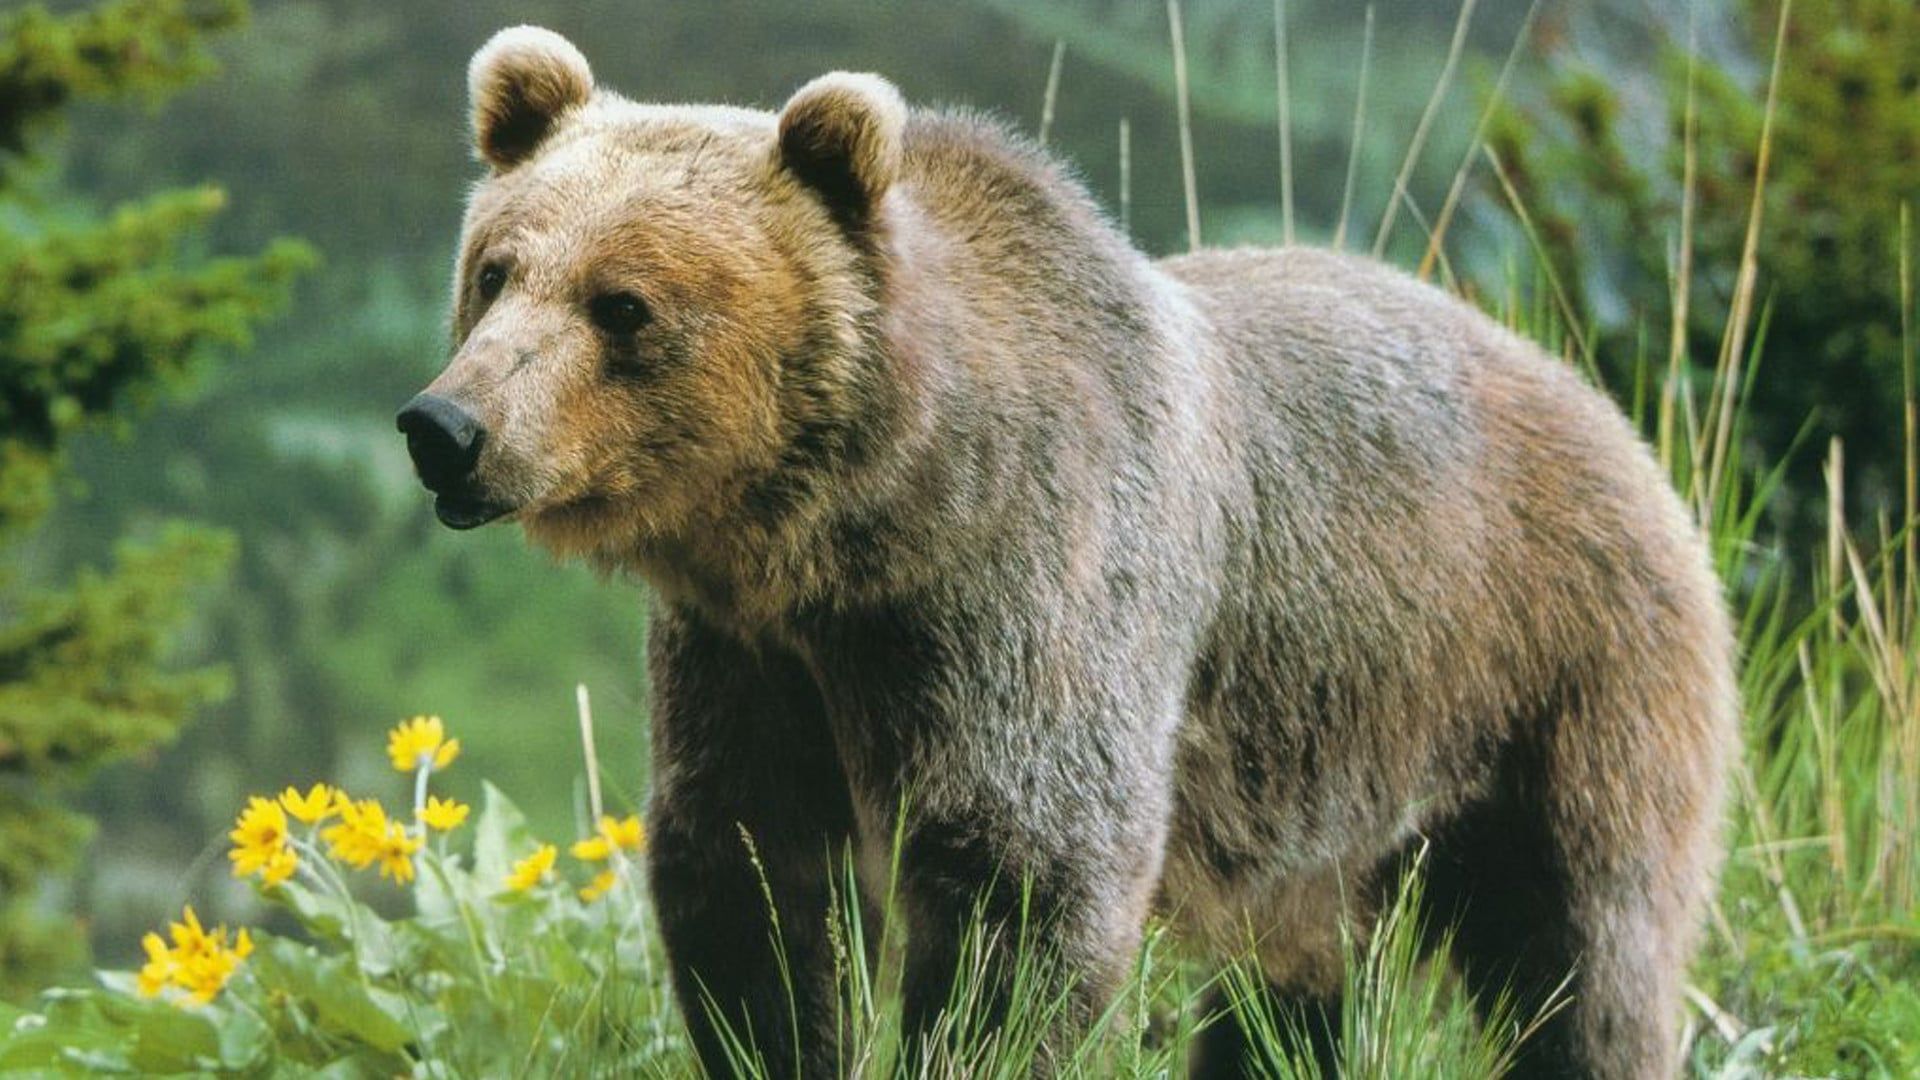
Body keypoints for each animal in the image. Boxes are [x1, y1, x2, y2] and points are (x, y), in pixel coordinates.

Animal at [401, 25, 1743, 1076]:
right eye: (497, 272)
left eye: (622, 305)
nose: (447, 428)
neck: (869, 520)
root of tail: (1613, 415)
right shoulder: (752, 659)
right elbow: (749, 877)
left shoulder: (1037, 593)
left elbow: (1027, 874)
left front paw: (962, 1040)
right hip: (1334, 798)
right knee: (1291, 985)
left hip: (1555, 677)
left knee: (1584, 950)